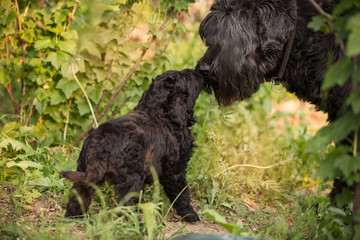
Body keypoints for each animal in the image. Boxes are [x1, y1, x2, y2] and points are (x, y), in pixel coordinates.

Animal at [62, 69, 202, 223]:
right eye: (188, 77)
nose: (197, 72)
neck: (159, 112)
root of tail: (101, 142)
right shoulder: (175, 169)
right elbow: (182, 193)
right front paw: (190, 214)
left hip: (84, 169)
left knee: (79, 195)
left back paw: (73, 218)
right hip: (131, 178)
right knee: (125, 206)